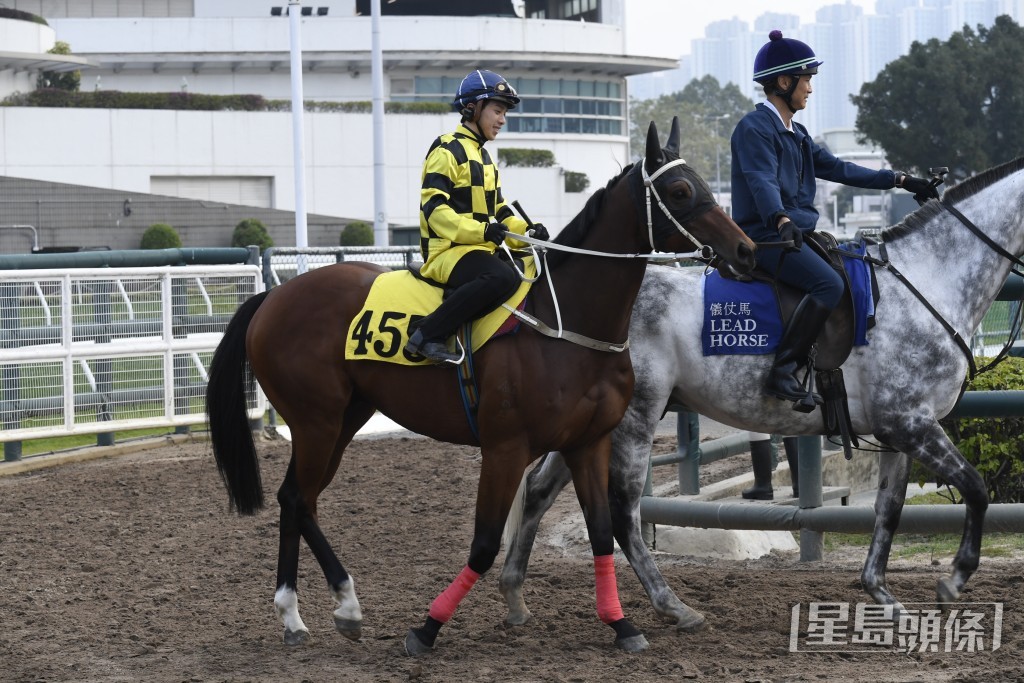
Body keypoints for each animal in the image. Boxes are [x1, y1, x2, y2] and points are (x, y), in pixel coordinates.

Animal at [203, 120, 757, 655]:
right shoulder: (505, 448)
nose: (746, 250)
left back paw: (308, 614)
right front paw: (427, 629)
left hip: (343, 420)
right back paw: (333, 606)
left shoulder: (588, 442)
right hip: (315, 420)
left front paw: (621, 625)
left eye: (704, 181)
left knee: (299, 499)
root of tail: (273, 297)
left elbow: (602, 532)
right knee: (298, 498)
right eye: (681, 190)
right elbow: (486, 543)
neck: (566, 327)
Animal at [497, 157, 1024, 634]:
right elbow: (976, 488)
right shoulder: (910, 423)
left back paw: (514, 593)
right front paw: (954, 579)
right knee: (624, 512)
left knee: (541, 490)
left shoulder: (899, 433)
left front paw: (881, 595)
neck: (926, 282)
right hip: (636, 418)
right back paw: (672, 607)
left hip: (598, 422)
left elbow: (889, 512)